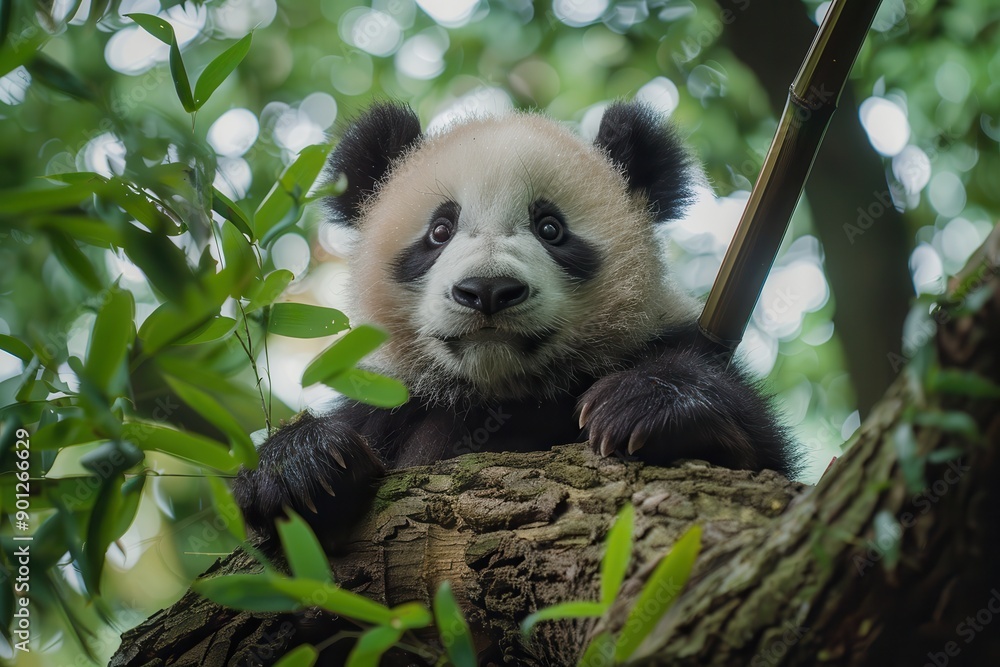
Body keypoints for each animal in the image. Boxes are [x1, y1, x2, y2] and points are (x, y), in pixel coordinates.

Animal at [233, 101, 799, 538]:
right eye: (440, 230)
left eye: (550, 228)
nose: (487, 291)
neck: (501, 391)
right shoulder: (392, 405)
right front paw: (302, 466)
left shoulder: (665, 343)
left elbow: (764, 458)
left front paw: (639, 405)